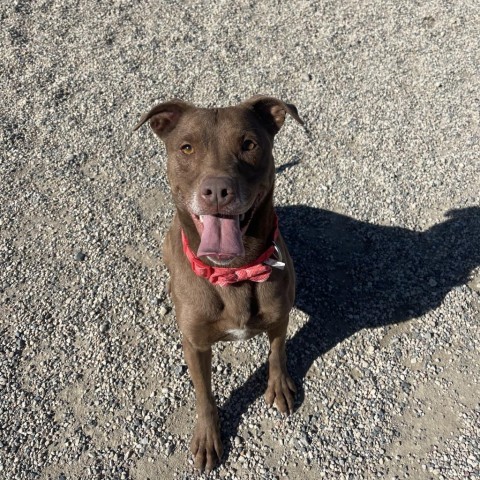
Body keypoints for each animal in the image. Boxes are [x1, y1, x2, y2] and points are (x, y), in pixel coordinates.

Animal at [133, 95, 302, 470]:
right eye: (186, 148)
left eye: (249, 145)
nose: (217, 190)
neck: (234, 272)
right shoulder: (196, 345)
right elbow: (204, 394)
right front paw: (208, 438)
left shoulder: (280, 318)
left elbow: (278, 352)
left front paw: (279, 386)